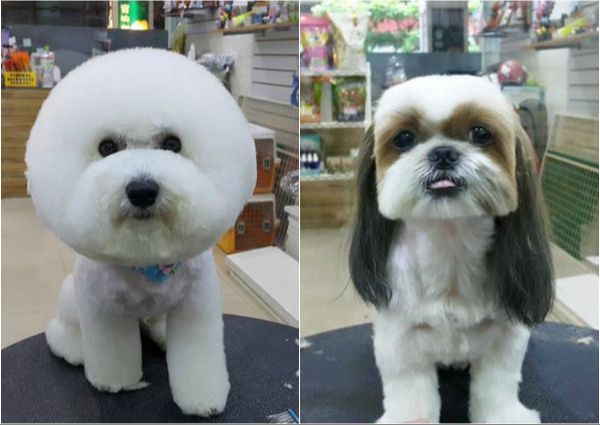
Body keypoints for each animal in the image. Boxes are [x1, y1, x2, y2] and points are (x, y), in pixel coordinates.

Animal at [25, 48, 256, 416]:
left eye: (173, 143)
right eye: (107, 147)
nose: (143, 190)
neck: (146, 257)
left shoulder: (195, 306)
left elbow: (197, 356)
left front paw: (203, 400)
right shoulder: (104, 310)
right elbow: (113, 354)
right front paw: (115, 382)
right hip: (73, 299)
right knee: (61, 330)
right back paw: (74, 348)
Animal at [350, 75, 556, 420]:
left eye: (480, 133)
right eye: (404, 138)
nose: (443, 153)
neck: (450, 248)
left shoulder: (505, 337)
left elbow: (496, 387)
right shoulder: (400, 338)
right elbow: (410, 394)